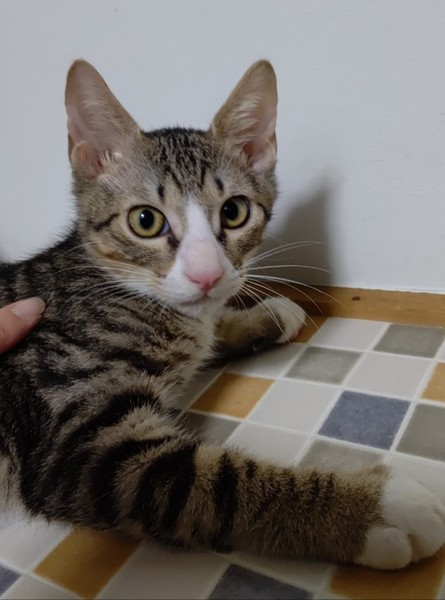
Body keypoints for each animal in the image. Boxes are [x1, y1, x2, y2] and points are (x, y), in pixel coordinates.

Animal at [0, 59, 443, 571]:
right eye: (145, 220)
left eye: (234, 211)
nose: (208, 274)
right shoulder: (78, 440)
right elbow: (217, 486)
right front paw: (373, 510)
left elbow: (207, 332)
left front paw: (260, 314)